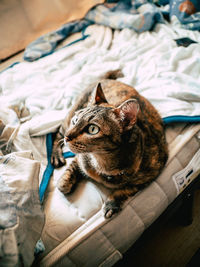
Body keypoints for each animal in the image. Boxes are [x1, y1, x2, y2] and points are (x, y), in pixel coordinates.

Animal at [50, 70, 168, 219]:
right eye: (75, 120)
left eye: (92, 129)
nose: (68, 137)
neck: (102, 163)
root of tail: (105, 78)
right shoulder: (81, 158)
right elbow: (69, 173)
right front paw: (63, 182)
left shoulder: (152, 173)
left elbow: (127, 188)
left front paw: (112, 204)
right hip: (67, 119)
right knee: (57, 133)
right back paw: (56, 155)